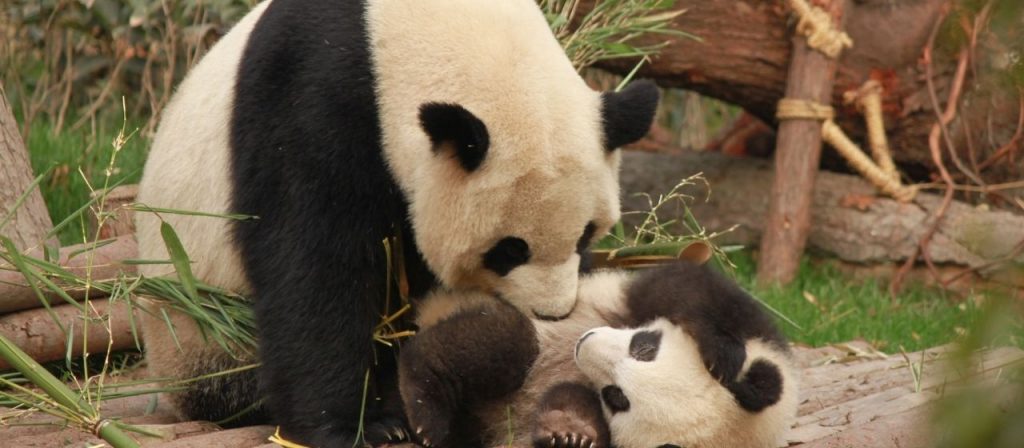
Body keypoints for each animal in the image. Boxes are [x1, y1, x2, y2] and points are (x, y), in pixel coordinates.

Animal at [134, 0, 655, 445]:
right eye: (509, 249)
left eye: (586, 234)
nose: (551, 313)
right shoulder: (311, 98)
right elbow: (315, 267)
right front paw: (351, 427)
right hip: (200, 327)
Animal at [401, 261, 798, 448]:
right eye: (644, 347)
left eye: (616, 397)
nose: (584, 342)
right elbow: (686, 287)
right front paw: (722, 352)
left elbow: (572, 401)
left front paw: (569, 432)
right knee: (504, 344)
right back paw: (424, 409)